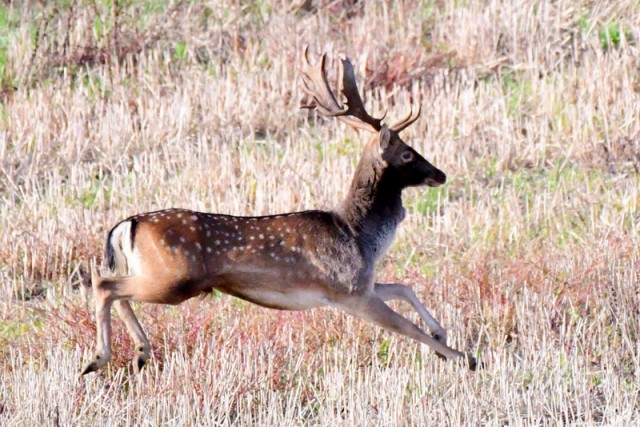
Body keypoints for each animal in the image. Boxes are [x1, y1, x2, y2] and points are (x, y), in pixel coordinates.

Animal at [81, 50, 476, 376]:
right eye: (408, 153)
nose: (440, 174)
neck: (358, 236)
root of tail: (126, 225)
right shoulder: (350, 291)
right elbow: (405, 326)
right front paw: (463, 357)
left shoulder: (360, 284)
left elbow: (404, 287)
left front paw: (441, 334)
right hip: (172, 278)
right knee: (104, 285)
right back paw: (99, 358)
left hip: (156, 274)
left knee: (115, 289)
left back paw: (139, 354)